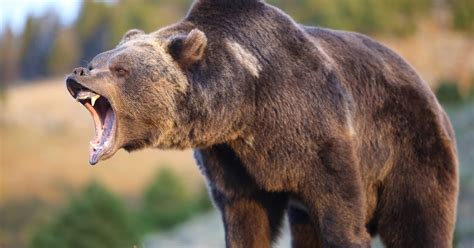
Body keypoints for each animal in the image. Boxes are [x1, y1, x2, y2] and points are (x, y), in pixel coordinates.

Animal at [65, 0, 460, 246]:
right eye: (98, 60)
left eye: (120, 69)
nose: (78, 72)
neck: (246, 106)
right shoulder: (230, 159)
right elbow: (246, 220)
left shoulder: (320, 133)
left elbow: (341, 214)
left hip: (411, 149)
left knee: (419, 222)